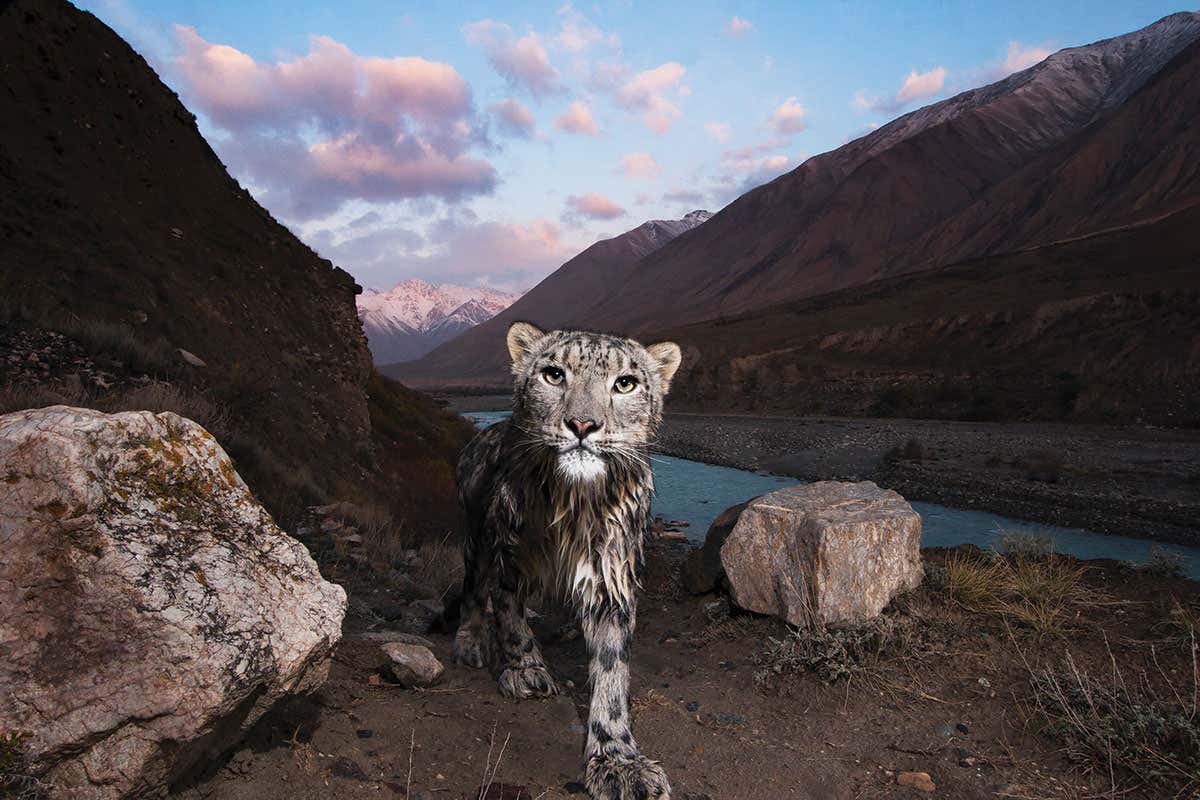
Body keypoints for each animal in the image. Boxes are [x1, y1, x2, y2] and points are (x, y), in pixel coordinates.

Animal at [452, 321, 681, 800]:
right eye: (553, 374)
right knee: (472, 591)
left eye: (625, 383)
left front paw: (617, 760)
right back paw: (469, 643)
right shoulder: (509, 558)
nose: (582, 424)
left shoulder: (611, 578)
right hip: (477, 539)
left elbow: (612, 671)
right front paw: (526, 670)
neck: (573, 506)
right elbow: (510, 617)